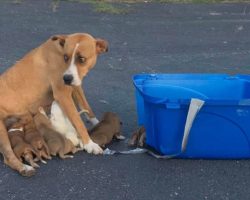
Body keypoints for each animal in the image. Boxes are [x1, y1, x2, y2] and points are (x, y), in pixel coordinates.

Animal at [0, 33, 107, 177]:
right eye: (66, 57)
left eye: (82, 59)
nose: (66, 79)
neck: (60, 50)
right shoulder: (63, 94)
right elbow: (78, 122)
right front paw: (90, 144)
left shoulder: (76, 86)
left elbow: (87, 108)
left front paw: (98, 125)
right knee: (8, 156)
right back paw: (25, 168)